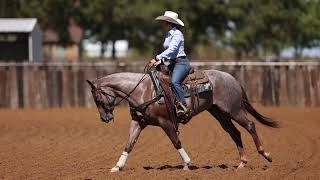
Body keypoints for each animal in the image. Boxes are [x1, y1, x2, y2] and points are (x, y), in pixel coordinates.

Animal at [86, 67, 278, 172]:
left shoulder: (165, 121)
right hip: (219, 113)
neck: (142, 90)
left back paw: (266, 154)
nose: (105, 118)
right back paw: (242, 164)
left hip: (233, 110)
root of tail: (232, 78)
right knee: (235, 133)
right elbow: (129, 144)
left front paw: (187, 164)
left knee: (250, 125)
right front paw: (117, 167)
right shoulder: (138, 122)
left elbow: (176, 142)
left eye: (97, 98)